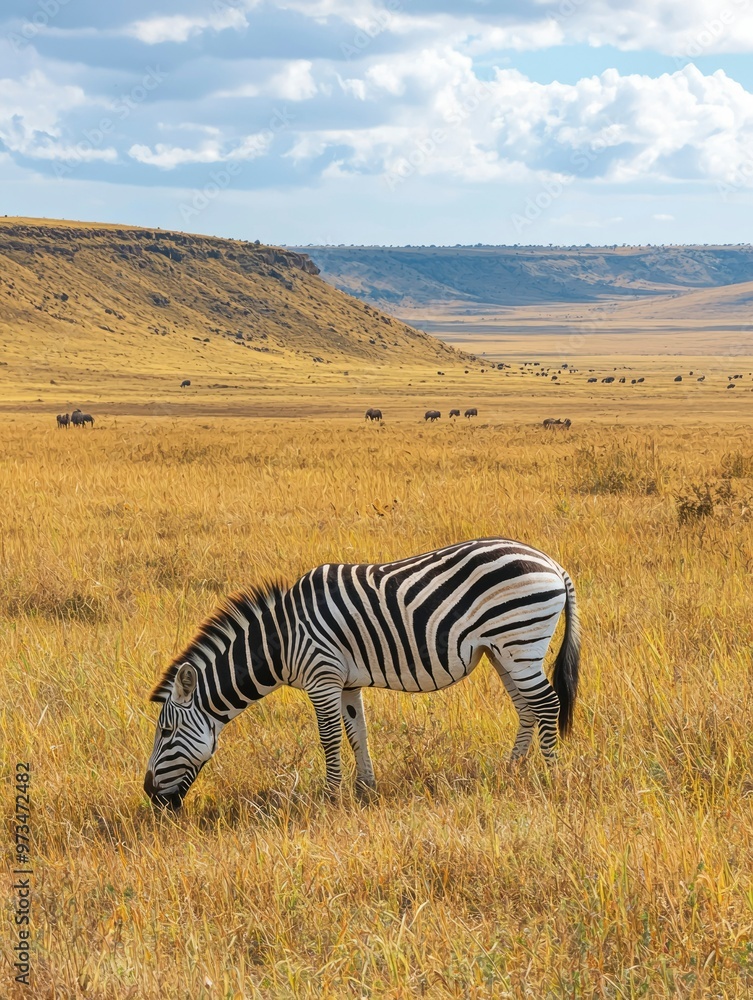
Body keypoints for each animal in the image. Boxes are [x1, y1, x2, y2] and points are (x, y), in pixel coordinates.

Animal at [144, 538, 580, 809]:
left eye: (165, 731)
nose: (149, 794)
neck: (283, 638)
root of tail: (552, 564)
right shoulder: (347, 682)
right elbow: (357, 732)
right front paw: (364, 789)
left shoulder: (322, 677)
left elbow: (329, 738)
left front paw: (331, 796)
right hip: (503, 652)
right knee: (527, 708)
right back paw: (512, 771)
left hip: (520, 642)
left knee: (547, 704)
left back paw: (552, 777)